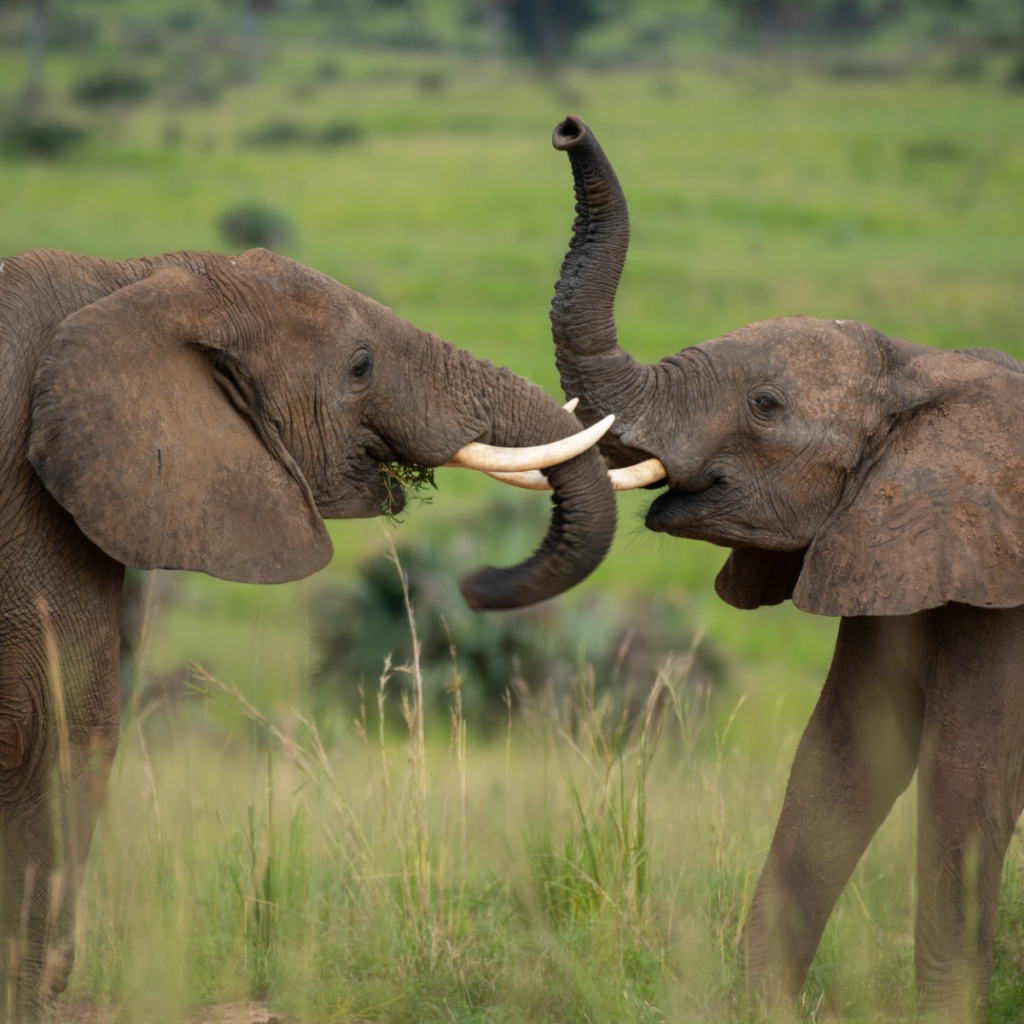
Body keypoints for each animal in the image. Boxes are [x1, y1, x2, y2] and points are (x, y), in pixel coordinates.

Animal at [530, 115, 1024, 1020]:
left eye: (765, 406)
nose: (566, 128)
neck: (920, 365)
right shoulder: (885, 539)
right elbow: (843, 760)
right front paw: (765, 1007)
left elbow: (967, 785)